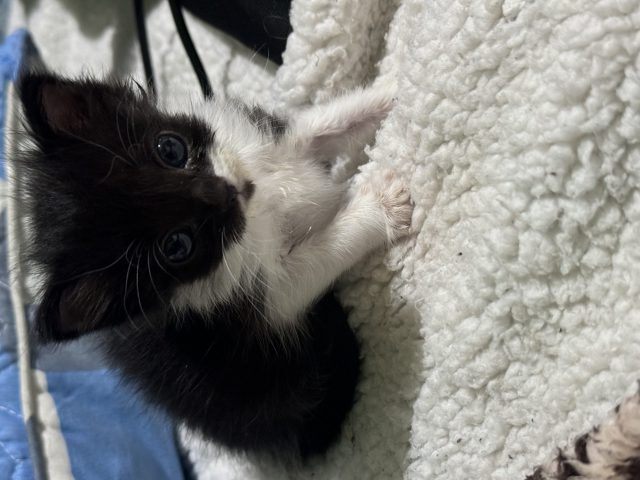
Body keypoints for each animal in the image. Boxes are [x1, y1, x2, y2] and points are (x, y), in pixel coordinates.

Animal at [15, 71, 413, 458]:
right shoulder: (268, 299)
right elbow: (321, 256)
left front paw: (396, 86)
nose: (226, 194)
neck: (259, 204)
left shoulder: (270, 147)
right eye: (176, 245)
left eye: (170, 149)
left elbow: (323, 123)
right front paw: (382, 206)